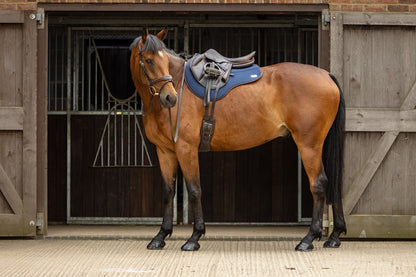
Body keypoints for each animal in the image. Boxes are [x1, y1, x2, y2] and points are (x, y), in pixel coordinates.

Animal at [132, 27, 346, 250]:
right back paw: (334, 236)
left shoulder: (186, 148)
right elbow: (168, 192)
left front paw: (194, 238)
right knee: (333, 182)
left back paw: (308, 239)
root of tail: (326, 75)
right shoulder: (164, 151)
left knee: (319, 184)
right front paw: (160, 236)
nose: (170, 98)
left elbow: (194, 190)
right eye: (148, 60)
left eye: (165, 60)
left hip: (309, 145)